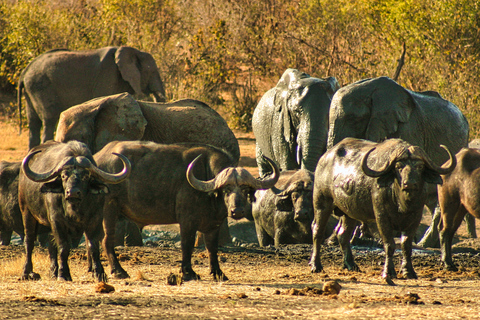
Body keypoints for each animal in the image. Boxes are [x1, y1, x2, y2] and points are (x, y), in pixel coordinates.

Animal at [17, 46, 167, 149]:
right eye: (152, 71)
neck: (133, 51)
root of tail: (24, 72)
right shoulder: (108, 76)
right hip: (41, 86)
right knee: (49, 120)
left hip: (31, 90)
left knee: (33, 123)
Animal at [19, 141, 129, 282]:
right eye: (63, 176)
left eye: (86, 176)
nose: (72, 192)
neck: (75, 208)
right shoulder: (57, 220)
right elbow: (64, 247)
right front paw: (63, 274)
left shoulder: (96, 219)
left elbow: (93, 246)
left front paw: (99, 273)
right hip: (26, 211)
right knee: (29, 241)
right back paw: (27, 273)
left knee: (51, 245)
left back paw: (53, 272)